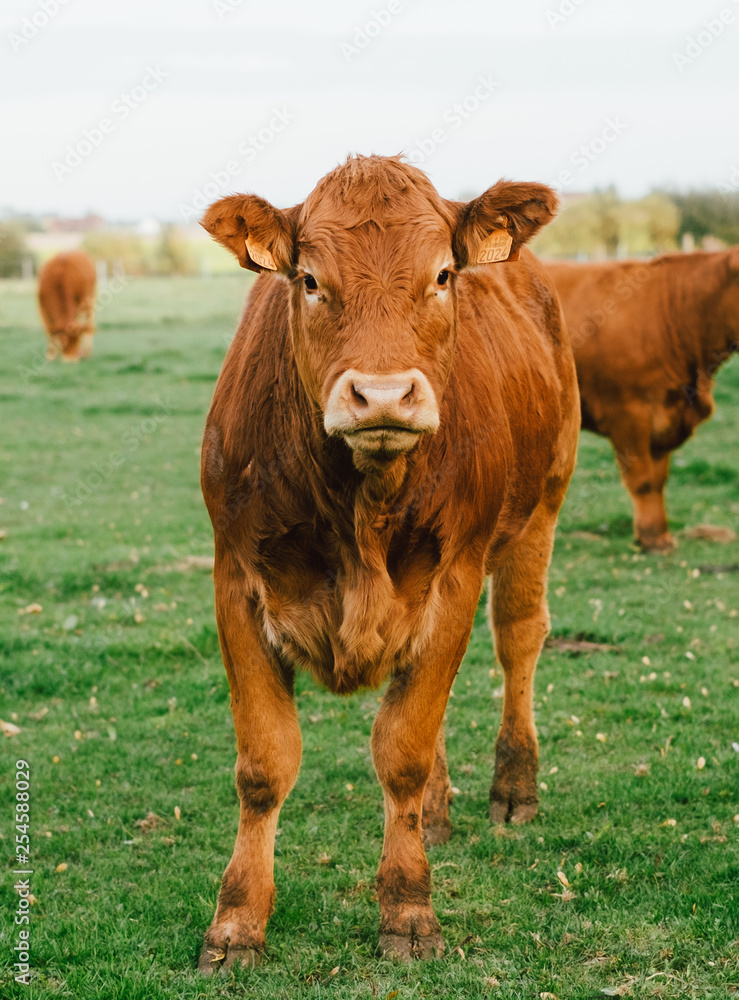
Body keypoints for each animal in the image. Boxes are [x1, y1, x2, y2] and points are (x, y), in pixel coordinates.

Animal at [199, 154, 580, 968]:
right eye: (310, 279)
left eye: (441, 274)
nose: (381, 396)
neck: (359, 505)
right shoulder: (235, 581)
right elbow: (263, 765)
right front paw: (237, 921)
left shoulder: (455, 576)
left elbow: (402, 749)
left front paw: (407, 910)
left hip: (541, 508)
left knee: (517, 641)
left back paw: (514, 788)